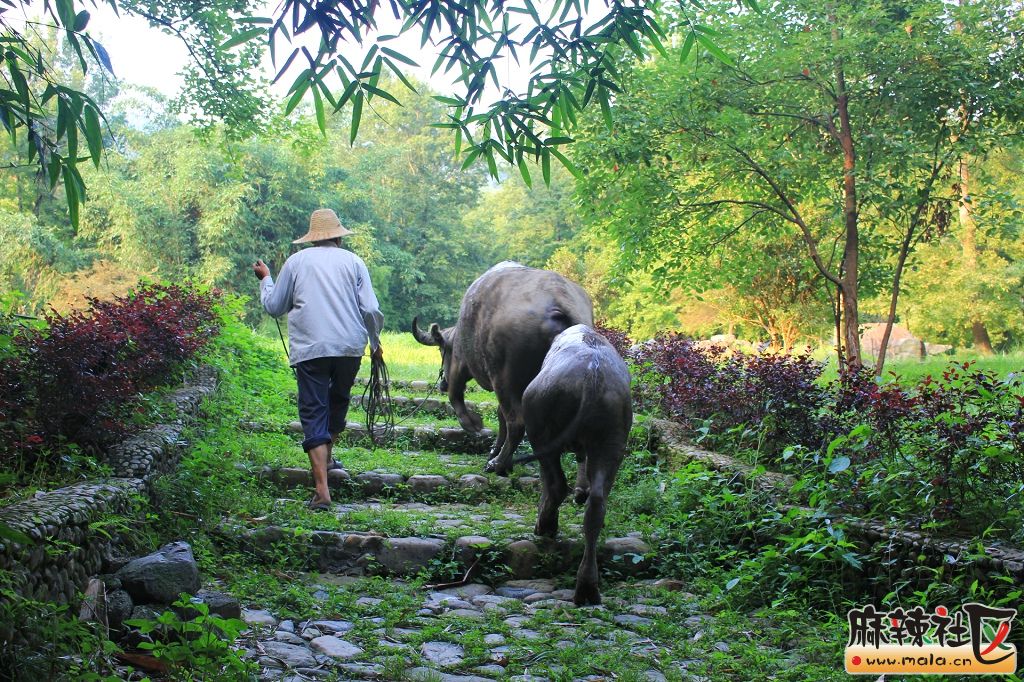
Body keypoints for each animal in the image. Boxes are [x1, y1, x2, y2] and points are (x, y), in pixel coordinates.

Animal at [411, 260, 598, 473]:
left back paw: (498, 463)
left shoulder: (461, 364)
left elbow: (456, 396)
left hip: (504, 378)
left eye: (442, 350)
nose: (442, 383)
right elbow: (500, 415)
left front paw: (475, 425)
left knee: (516, 422)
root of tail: (559, 299)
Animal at [528, 321, 630, 602]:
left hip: (541, 433)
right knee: (597, 504)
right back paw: (587, 586)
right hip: (613, 441)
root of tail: (592, 376)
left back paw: (545, 525)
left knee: (555, 484)